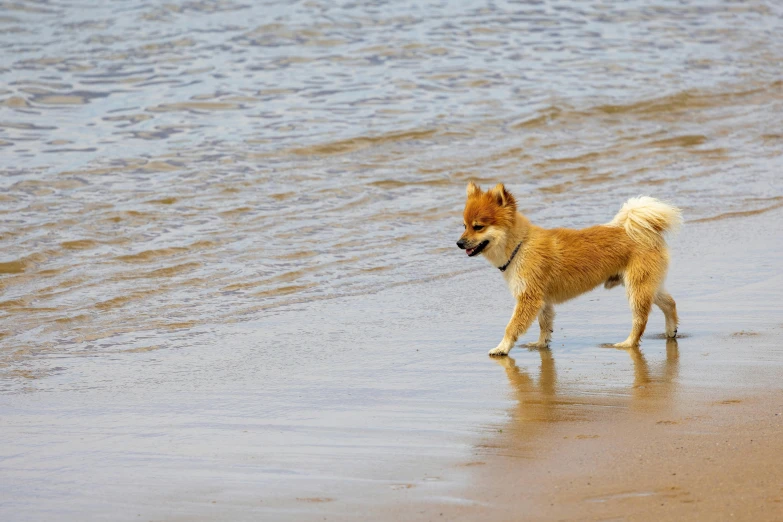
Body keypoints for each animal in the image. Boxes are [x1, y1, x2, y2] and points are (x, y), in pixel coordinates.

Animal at [456, 181, 684, 356]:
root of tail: (645, 230)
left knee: (640, 319)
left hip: (636, 289)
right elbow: (544, 325)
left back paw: (628, 343)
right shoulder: (542, 300)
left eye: (478, 227)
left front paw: (502, 348)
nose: (458, 243)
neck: (520, 246)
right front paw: (540, 344)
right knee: (669, 303)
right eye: (464, 226)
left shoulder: (528, 298)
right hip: (647, 285)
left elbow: (512, 327)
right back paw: (671, 331)